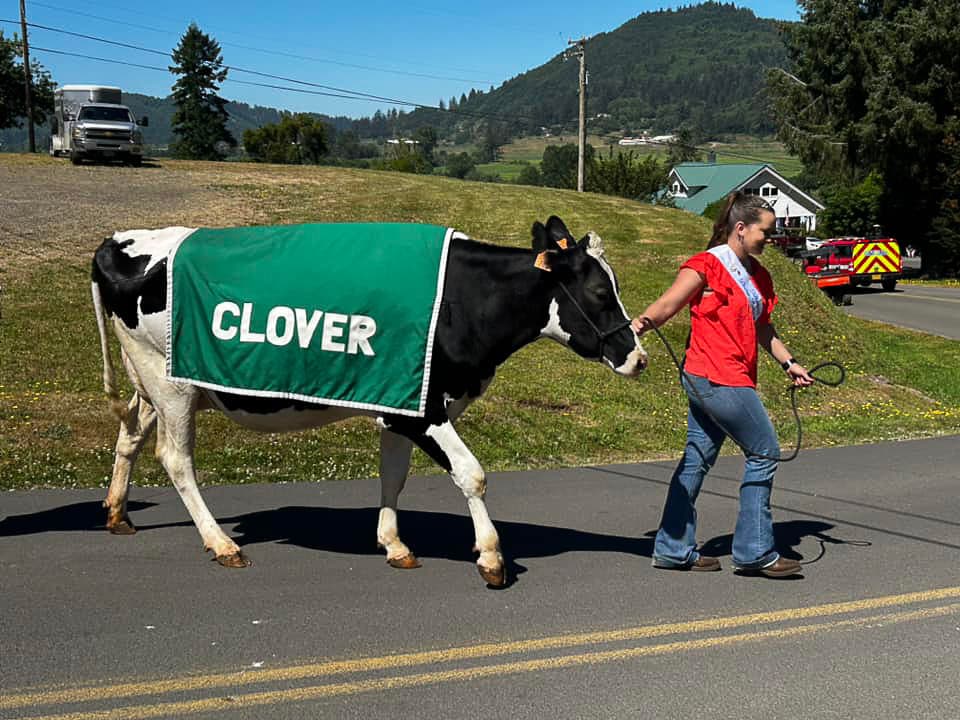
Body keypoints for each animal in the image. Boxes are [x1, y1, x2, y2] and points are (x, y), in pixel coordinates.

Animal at [90, 216, 647, 587]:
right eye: (600, 292)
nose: (638, 356)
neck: (463, 299)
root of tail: (121, 240)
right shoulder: (427, 411)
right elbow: (472, 474)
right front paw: (491, 557)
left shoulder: (401, 405)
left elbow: (393, 477)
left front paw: (394, 544)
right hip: (174, 388)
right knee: (175, 458)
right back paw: (222, 543)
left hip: (150, 384)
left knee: (130, 436)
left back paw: (118, 514)